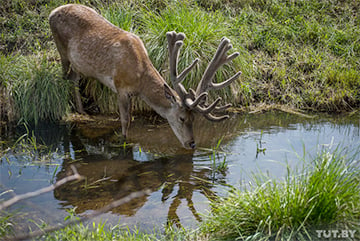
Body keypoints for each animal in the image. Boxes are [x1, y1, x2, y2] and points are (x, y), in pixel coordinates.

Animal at [48, 4, 242, 149]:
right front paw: (124, 141)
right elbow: (125, 120)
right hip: (60, 47)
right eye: (181, 118)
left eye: (194, 119)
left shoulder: (131, 93)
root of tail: (53, 11)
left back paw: (82, 112)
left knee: (74, 78)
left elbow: (131, 118)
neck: (139, 79)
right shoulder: (120, 87)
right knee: (65, 76)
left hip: (79, 63)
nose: (192, 144)